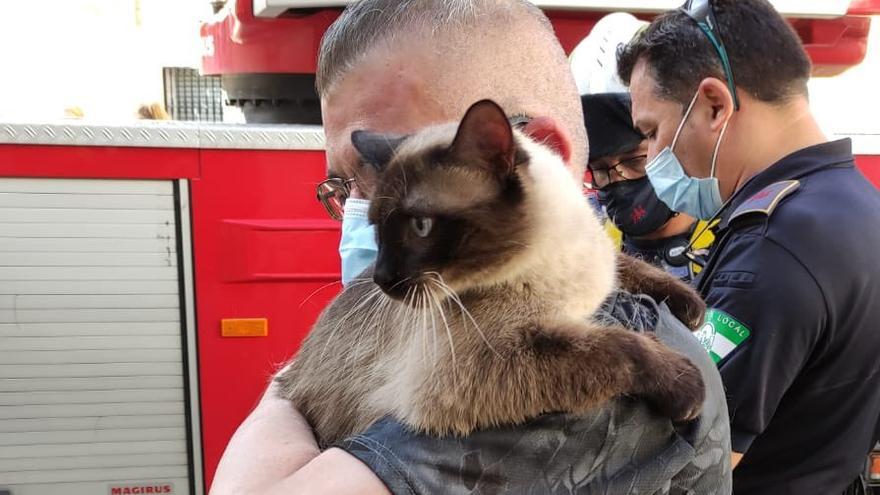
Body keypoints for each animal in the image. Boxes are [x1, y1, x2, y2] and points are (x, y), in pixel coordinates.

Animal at [278, 99, 704, 448]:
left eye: (420, 227)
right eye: (377, 230)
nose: (382, 280)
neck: (549, 261)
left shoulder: (603, 266)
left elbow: (629, 264)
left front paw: (691, 306)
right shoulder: (480, 364)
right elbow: (619, 346)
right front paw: (686, 385)